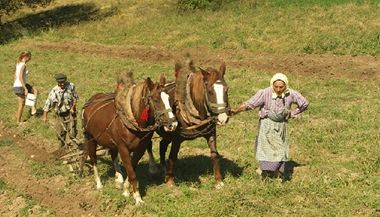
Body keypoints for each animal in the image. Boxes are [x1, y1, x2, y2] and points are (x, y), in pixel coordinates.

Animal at [81, 74, 177, 205]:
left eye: (168, 98)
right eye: (156, 100)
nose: (173, 124)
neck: (131, 119)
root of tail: (91, 101)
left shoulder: (140, 148)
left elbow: (132, 167)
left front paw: (126, 189)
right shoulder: (123, 148)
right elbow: (132, 173)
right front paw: (137, 198)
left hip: (111, 142)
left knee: (113, 154)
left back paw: (118, 179)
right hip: (91, 139)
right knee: (93, 159)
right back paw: (99, 183)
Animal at [149, 59, 230, 188]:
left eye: (226, 89)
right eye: (210, 92)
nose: (223, 118)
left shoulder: (211, 132)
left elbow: (214, 154)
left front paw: (218, 181)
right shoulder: (176, 139)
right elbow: (172, 158)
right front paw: (170, 182)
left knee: (162, 145)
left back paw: (163, 169)